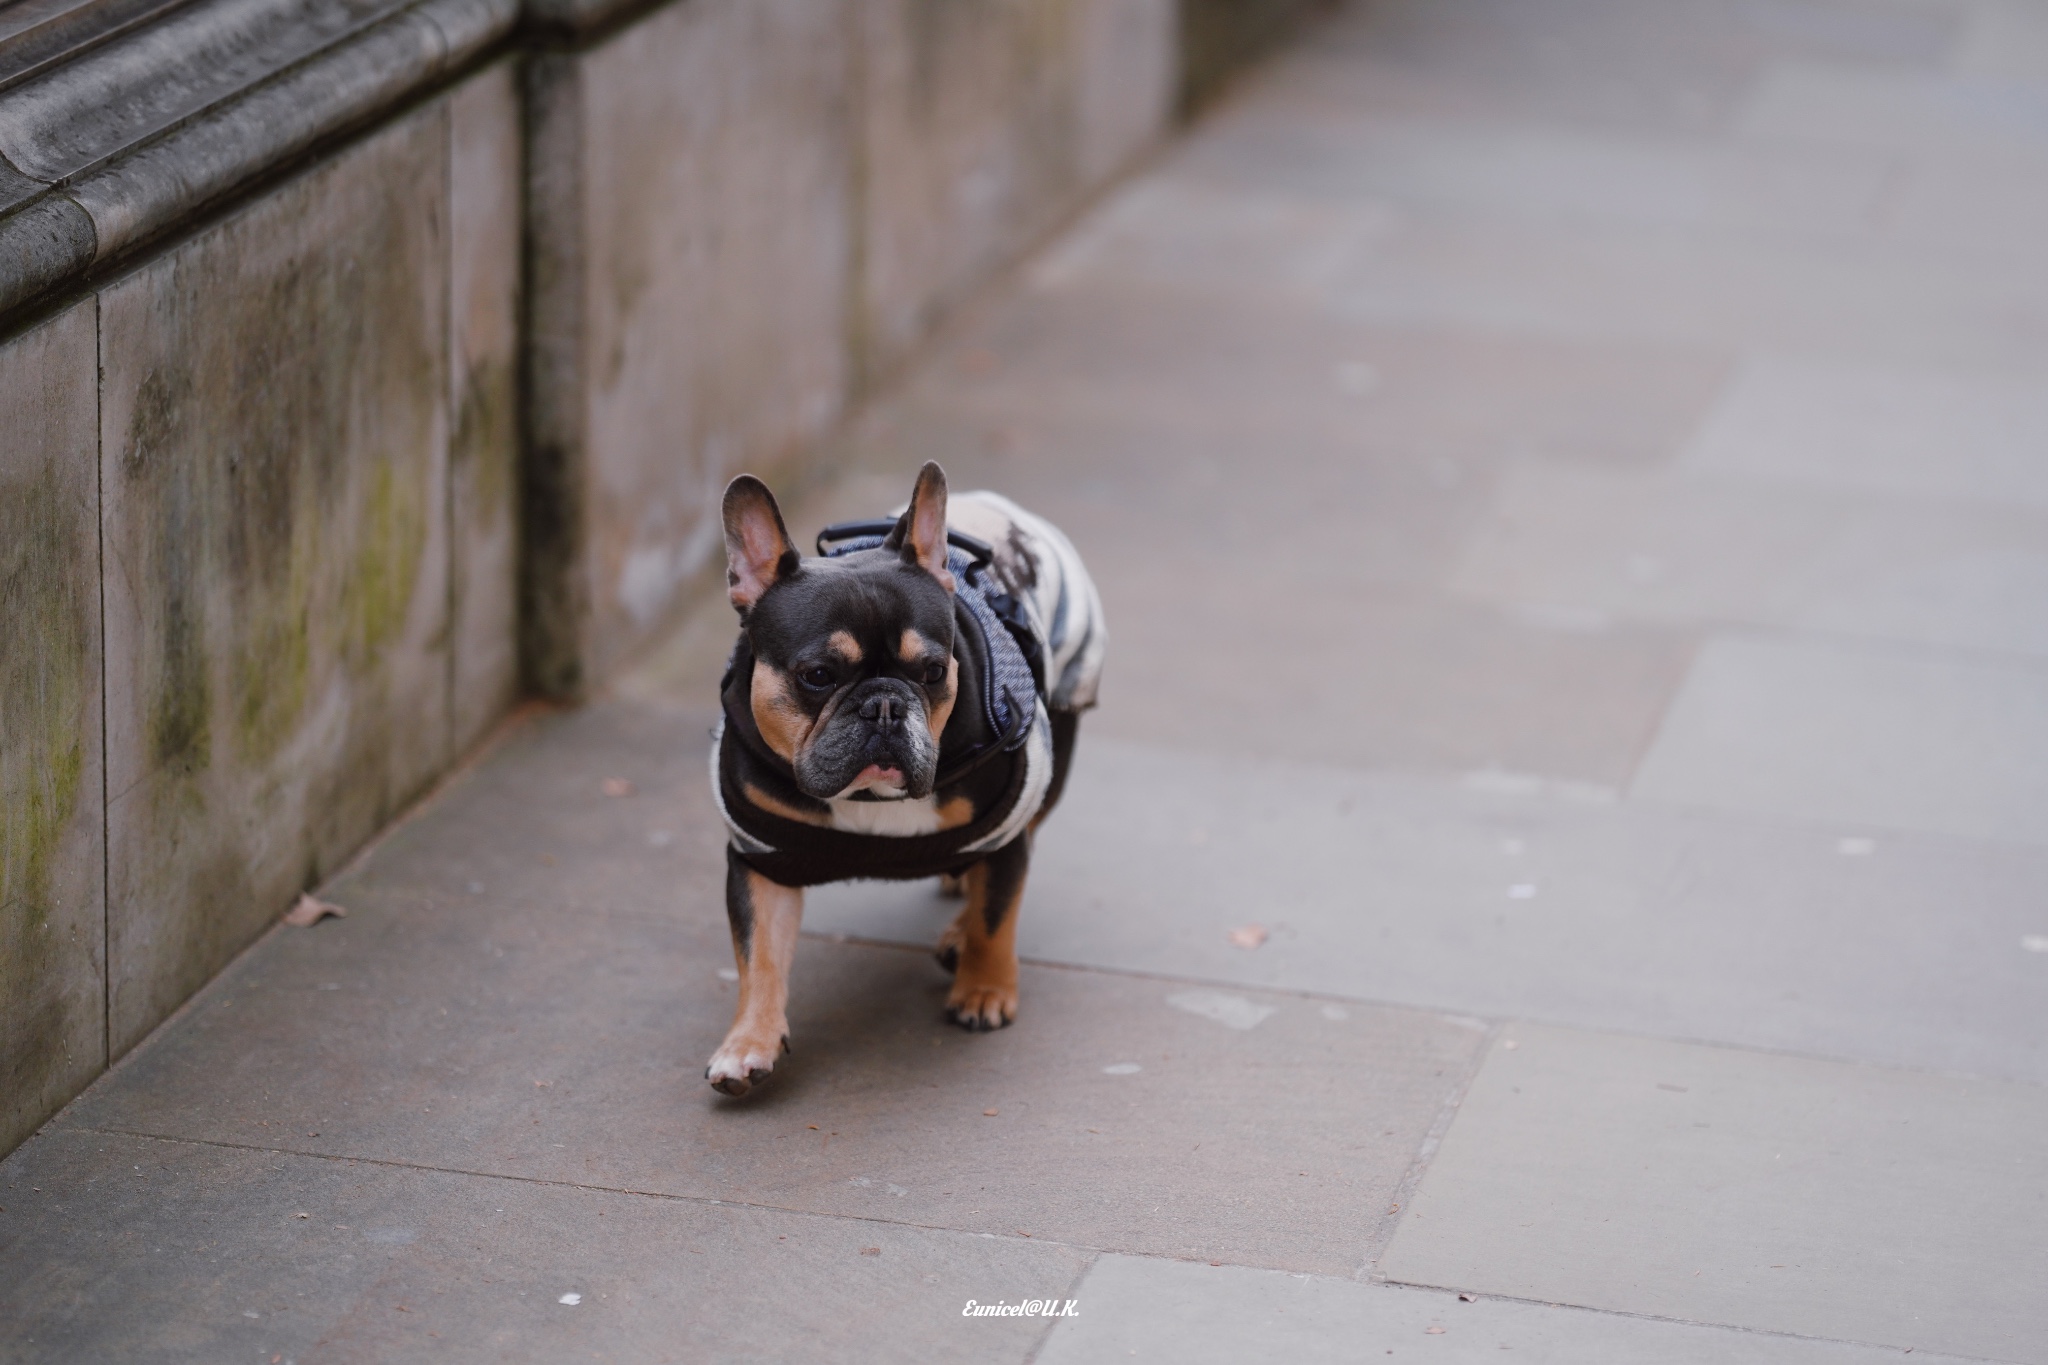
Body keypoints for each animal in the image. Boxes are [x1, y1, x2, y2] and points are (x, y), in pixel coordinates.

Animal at [712, 464, 1114, 1096]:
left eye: (932, 670)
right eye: (818, 675)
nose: (883, 705)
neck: (868, 796)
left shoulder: (1006, 828)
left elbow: (997, 915)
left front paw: (984, 988)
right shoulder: (761, 858)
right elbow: (758, 957)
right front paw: (748, 1043)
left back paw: (959, 936)